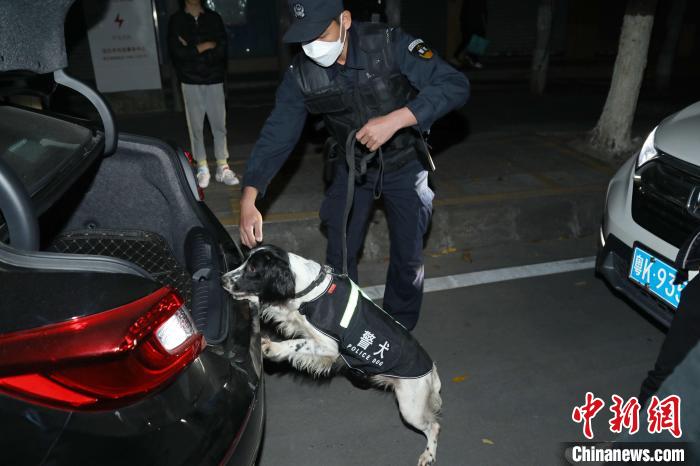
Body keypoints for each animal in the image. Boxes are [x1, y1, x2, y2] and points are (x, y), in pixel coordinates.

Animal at [223, 246, 442, 464]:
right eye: (244, 262)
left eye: (253, 268)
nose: (222, 279)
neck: (311, 288)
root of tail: (432, 371)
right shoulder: (292, 315)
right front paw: (249, 299)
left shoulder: (328, 347)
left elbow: (294, 344)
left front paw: (270, 347)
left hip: (410, 408)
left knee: (434, 426)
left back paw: (428, 455)